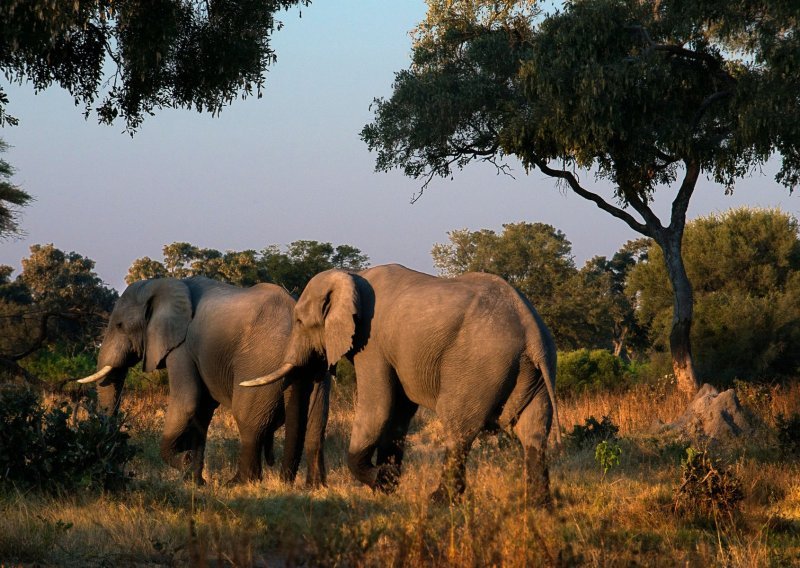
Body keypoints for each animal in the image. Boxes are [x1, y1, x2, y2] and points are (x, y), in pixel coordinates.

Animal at [79, 278, 330, 486]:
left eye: (119, 326)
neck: (163, 283)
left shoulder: (182, 347)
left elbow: (188, 401)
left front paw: (183, 465)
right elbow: (202, 411)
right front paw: (194, 481)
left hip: (261, 362)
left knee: (248, 420)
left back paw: (239, 483)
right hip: (316, 366)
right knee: (316, 421)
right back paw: (312, 486)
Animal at [241, 264, 560, 504]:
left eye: (298, 321)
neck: (352, 276)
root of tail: (532, 332)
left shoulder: (372, 343)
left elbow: (379, 406)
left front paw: (381, 481)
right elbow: (399, 413)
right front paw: (388, 484)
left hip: (479, 366)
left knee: (459, 428)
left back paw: (439, 500)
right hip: (534, 373)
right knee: (534, 432)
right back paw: (539, 504)